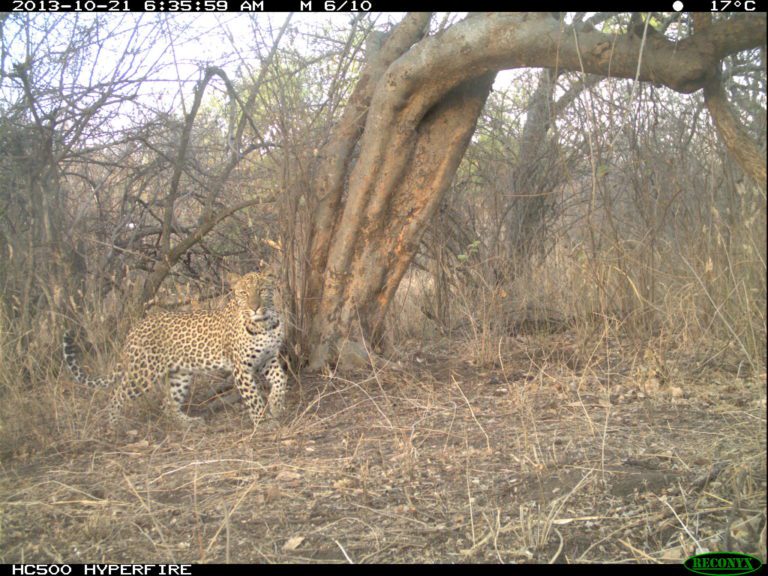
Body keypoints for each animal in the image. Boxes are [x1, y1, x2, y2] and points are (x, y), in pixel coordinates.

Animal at [60, 272, 288, 430]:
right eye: (243, 293)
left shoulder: (268, 359)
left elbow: (281, 380)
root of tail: (134, 330)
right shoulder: (241, 367)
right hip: (143, 373)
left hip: (180, 374)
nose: (254, 307)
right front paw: (262, 421)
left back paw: (189, 422)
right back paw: (115, 424)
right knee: (118, 394)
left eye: (261, 291)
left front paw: (276, 405)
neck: (265, 323)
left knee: (167, 404)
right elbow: (253, 398)